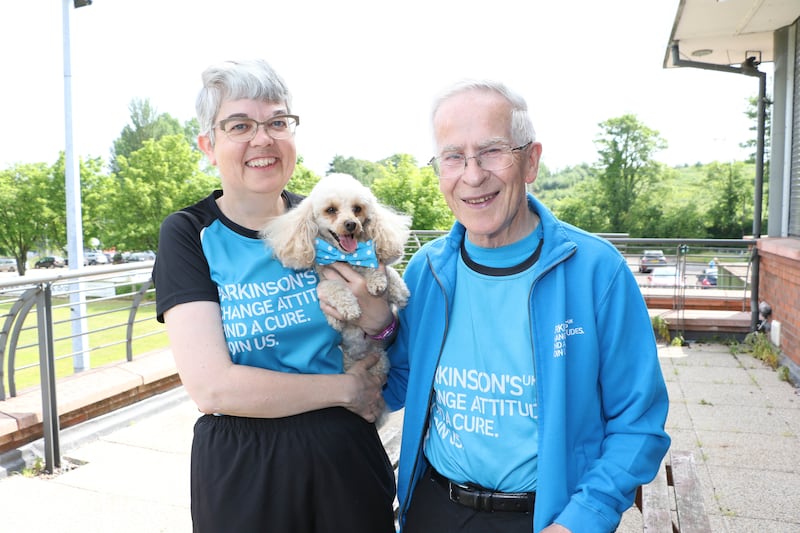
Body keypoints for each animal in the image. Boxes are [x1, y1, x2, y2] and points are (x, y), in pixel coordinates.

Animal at [262, 174, 412, 378]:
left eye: (357, 208)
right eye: (331, 210)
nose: (351, 224)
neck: (345, 257)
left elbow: (386, 271)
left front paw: (393, 288)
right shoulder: (324, 283)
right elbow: (334, 289)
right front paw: (349, 309)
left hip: (380, 362)